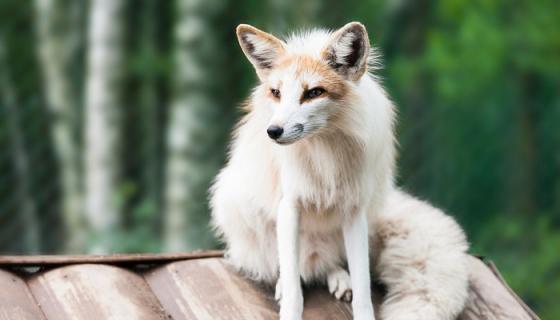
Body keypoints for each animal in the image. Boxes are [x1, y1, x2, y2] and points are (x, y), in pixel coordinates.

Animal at [210, 22, 468, 320]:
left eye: (313, 93)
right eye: (276, 93)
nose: (273, 132)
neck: (325, 156)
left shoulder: (354, 210)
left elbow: (363, 284)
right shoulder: (289, 206)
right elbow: (293, 285)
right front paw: (289, 304)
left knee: (325, 263)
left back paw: (339, 278)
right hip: (243, 211)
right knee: (288, 266)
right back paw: (286, 282)